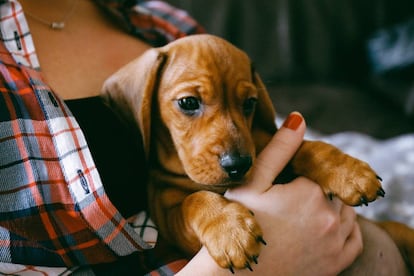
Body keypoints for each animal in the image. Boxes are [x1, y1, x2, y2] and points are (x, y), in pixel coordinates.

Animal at [100, 34, 414, 272]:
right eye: (188, 102)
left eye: (249, 103)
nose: (238, 165)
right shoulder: (169, 219)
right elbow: (195, 200)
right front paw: (229, 229)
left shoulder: (266, 145)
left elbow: (308, 148)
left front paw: (348, 172)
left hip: (400, 232)